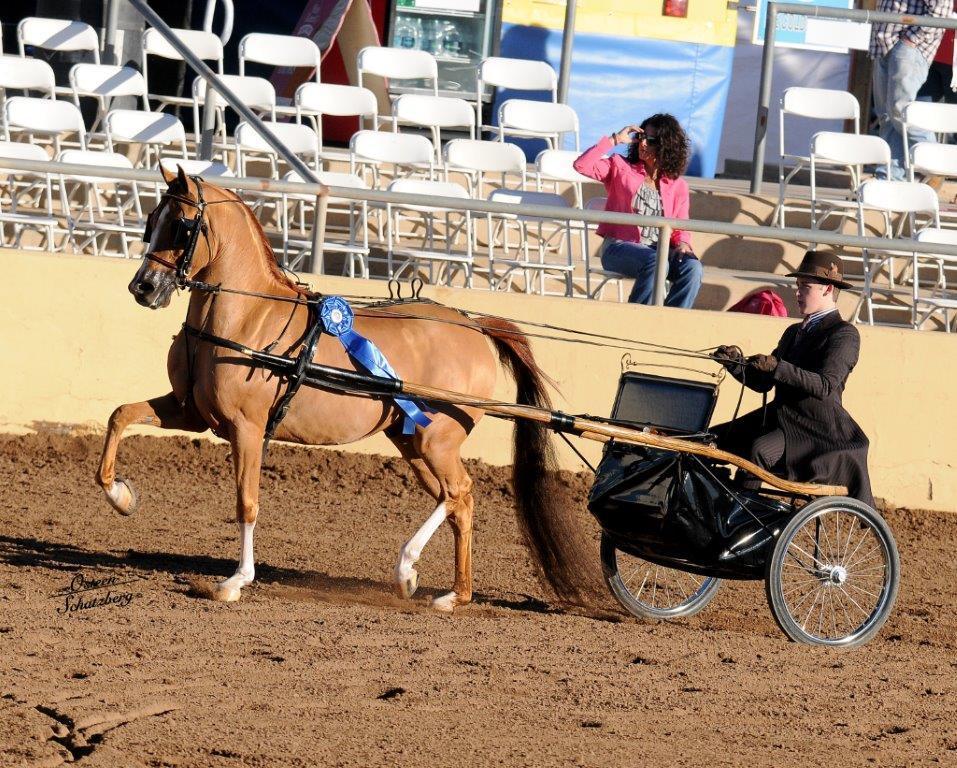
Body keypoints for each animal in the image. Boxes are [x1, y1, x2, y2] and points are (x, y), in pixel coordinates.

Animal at [96, 165, 596, 611]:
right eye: (151, 219)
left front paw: (236, 581)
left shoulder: (247, 428)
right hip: (412, 442)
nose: (142, 287)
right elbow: (120, 415)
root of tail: (473, 325)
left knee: (460, 492)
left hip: (436, 441)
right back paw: (449, 591)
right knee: (455, 502)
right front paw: (121, 496)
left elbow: (247, 502)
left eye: (181, 226)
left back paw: (413, 569)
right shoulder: (191, 413)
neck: (246, 319)